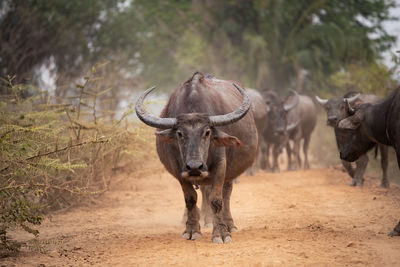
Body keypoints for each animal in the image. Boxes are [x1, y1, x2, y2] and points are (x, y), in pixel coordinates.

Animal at [136, 72, 258, 244]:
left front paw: (221, 233)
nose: (194, 167)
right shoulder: (179, 169)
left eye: (207, 132)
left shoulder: (221, 165)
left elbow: (216, 199)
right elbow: (190, 198)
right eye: (179, 133)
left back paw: (229, 224)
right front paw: (192, 230)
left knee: (226, 193)